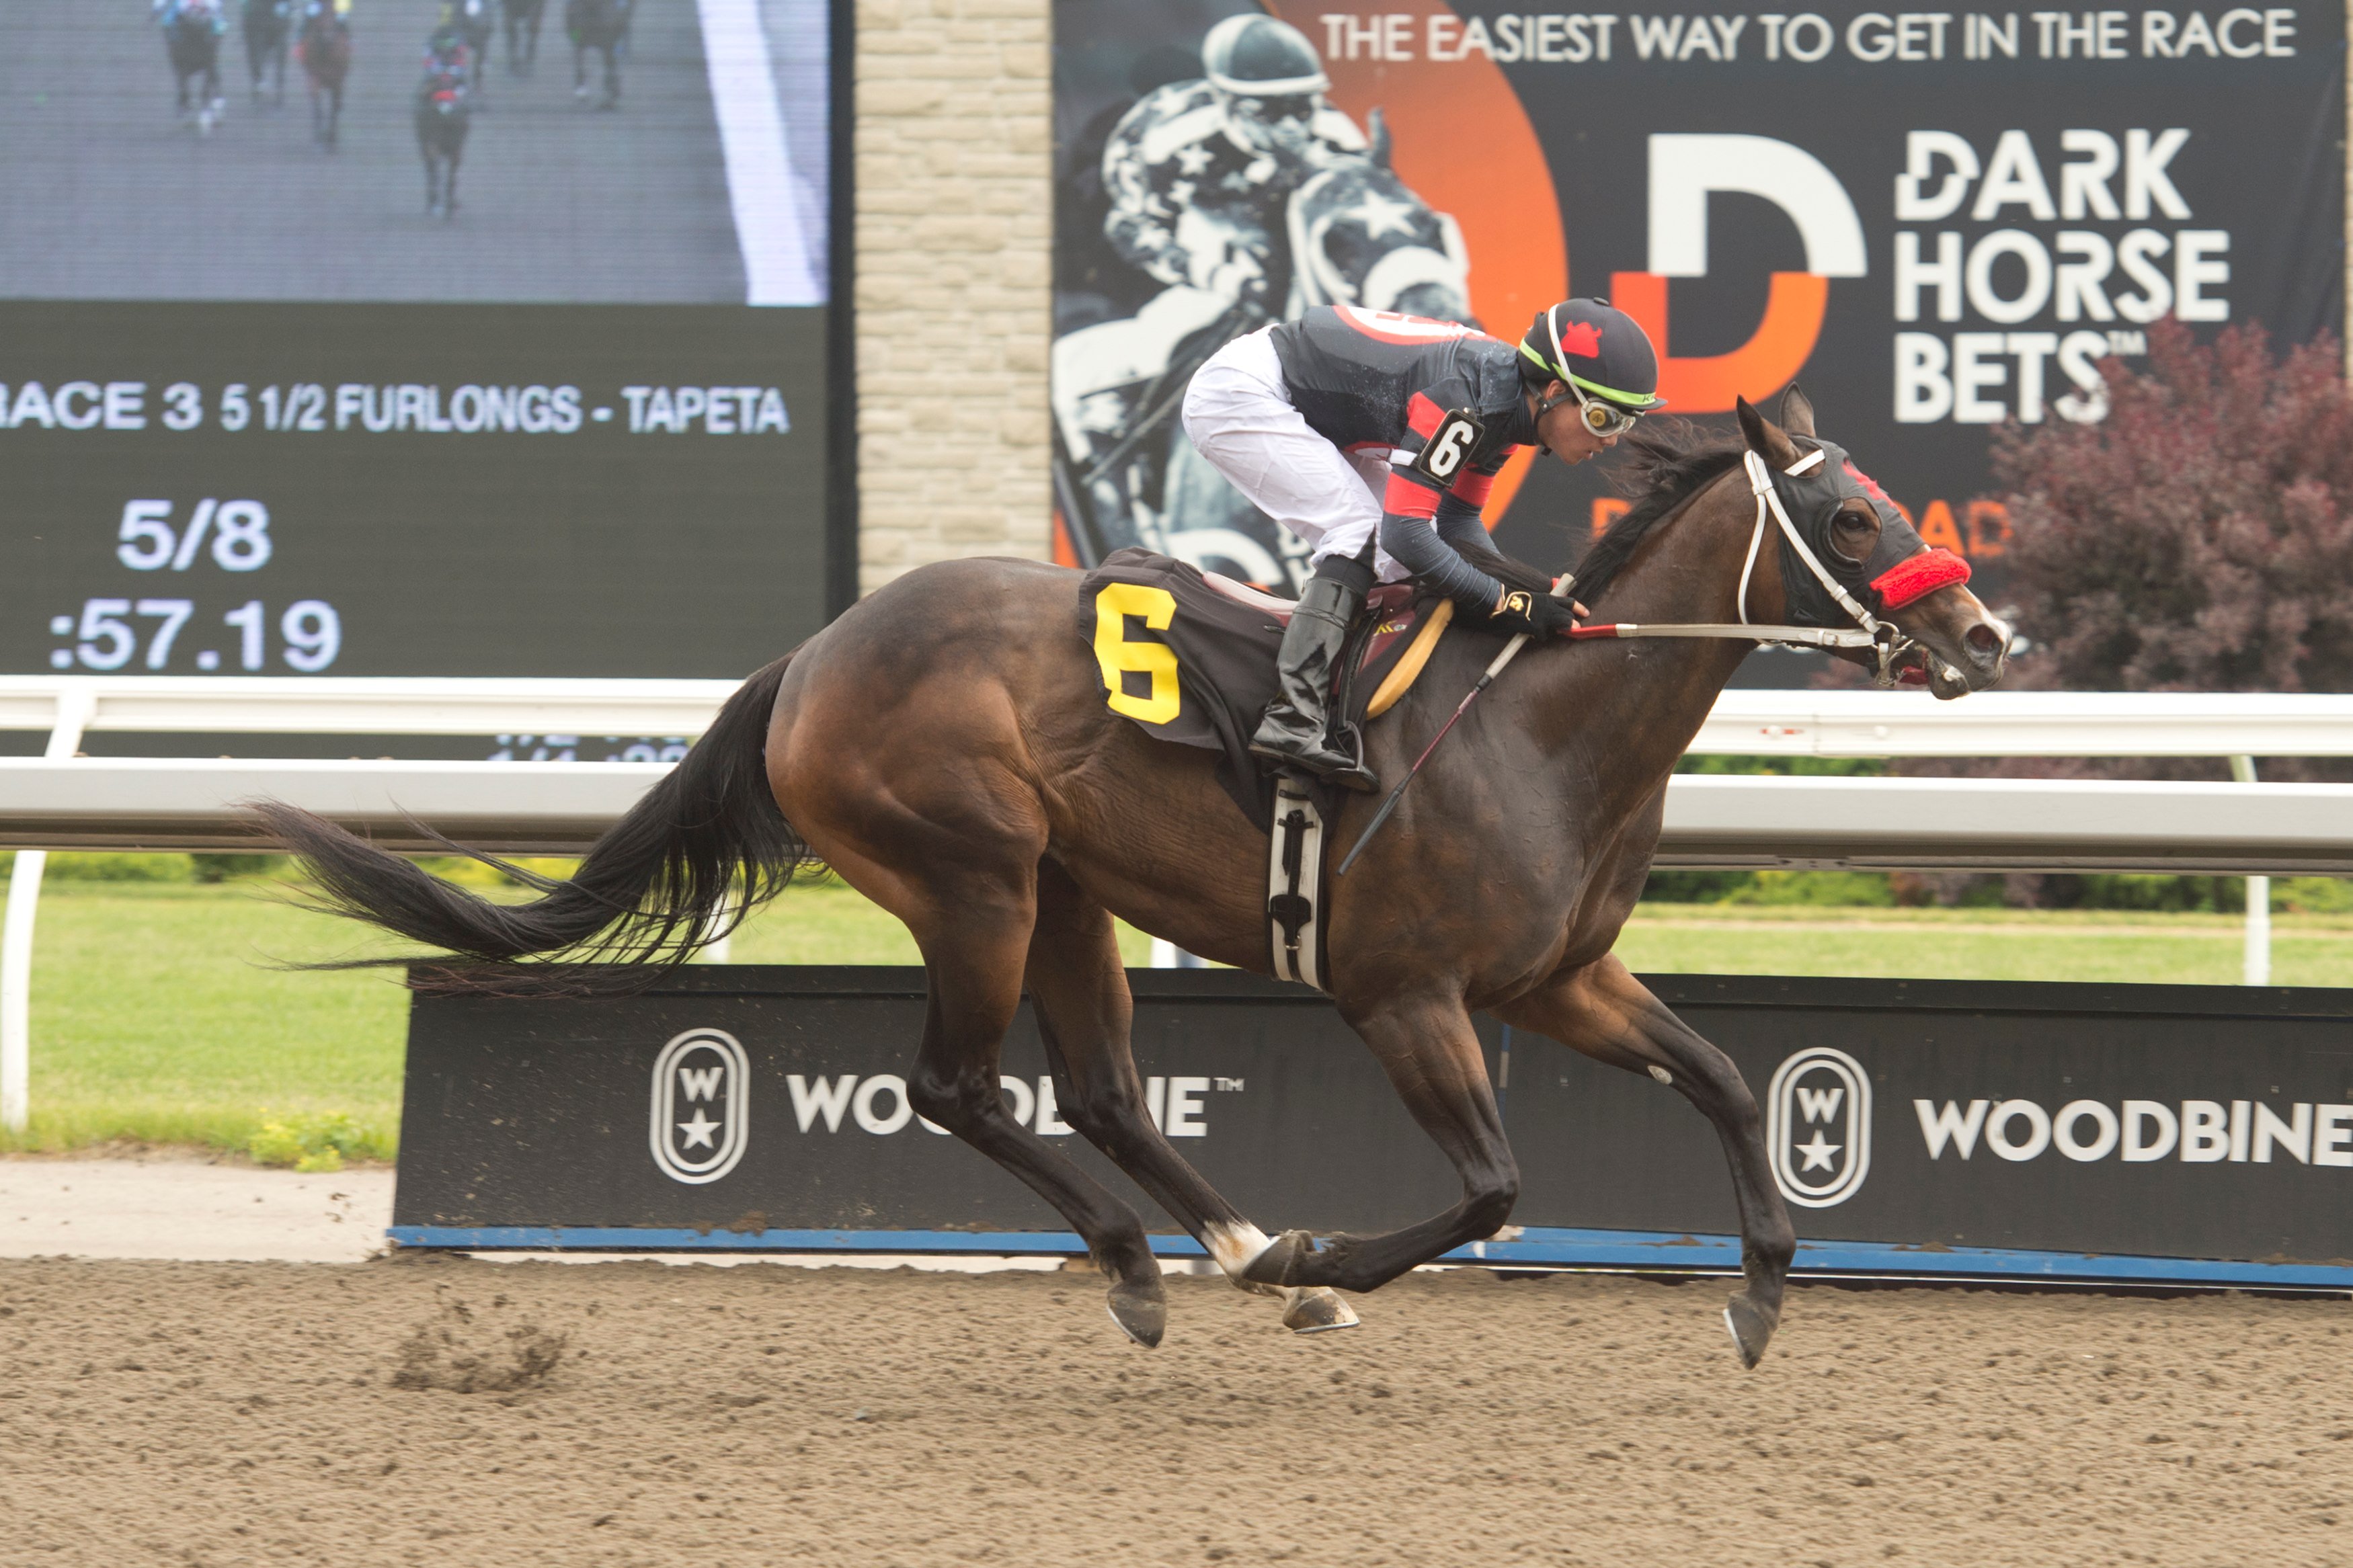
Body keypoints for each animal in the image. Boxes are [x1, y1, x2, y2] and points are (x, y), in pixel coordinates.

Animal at [267, 395, 2014, 1372]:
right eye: (1853, 513)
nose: (1990, 637)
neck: (1542, 723)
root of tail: (813, 654)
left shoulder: (1561, 977)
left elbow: (1725, 1077)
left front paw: (1763, 1295)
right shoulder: (1405, 995)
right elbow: (1494, 1186)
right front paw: (1327, 1258)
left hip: (1067, 892)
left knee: (1101, 1090)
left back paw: (1232, 1252)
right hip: (972, 875)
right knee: (957, 1086)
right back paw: (1165, 1266)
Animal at [294, 1, 348, 149]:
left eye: (334, 14)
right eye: (320, 17)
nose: (328, 38)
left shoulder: (338, 79)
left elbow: (335, 107)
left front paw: (331, 139)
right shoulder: (314, 76)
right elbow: (318, 106)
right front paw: (320, 139)